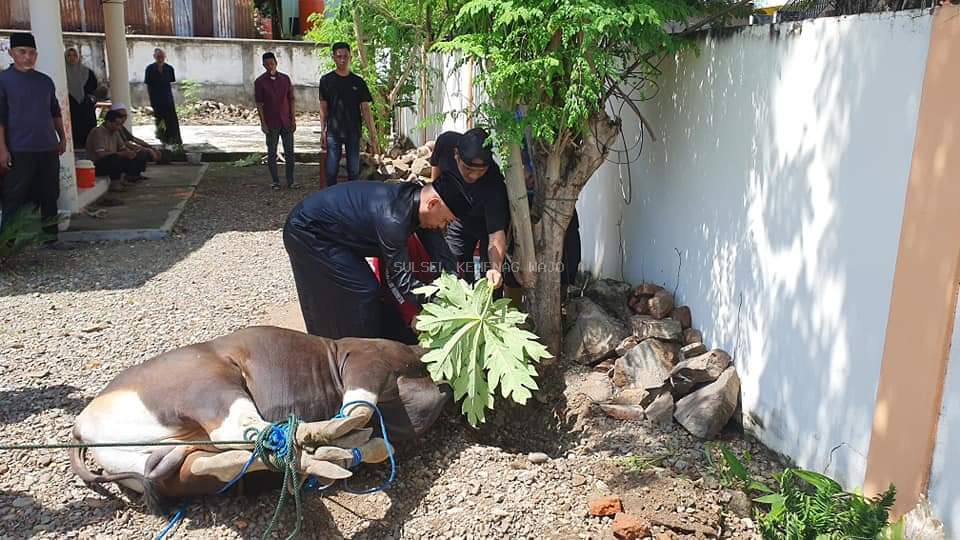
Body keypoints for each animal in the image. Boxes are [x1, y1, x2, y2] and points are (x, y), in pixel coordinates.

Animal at [69, 322, 452, 504]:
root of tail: (81, 425)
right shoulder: (364, 358)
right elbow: (358, 406)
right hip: (207, 386)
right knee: (243, 431)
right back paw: (332, 448)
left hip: (171, 459)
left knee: (212, 463)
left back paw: (328, 456)